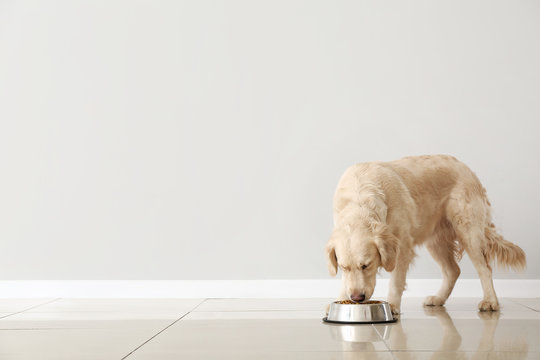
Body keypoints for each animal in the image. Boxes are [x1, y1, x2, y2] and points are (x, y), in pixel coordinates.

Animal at [326, 154, 524, 312]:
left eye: (366, 265)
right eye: (343, 267)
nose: (357, 298)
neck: (360, 198)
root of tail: (467, 168)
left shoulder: (402, 246)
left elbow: (396, 281)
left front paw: (392, 305)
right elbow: (345, 281)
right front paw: (340, 299)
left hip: (469, 231)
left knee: (485, 269)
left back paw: (490, 301)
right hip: (435, 240)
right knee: (453, 271)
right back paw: (438, 298)